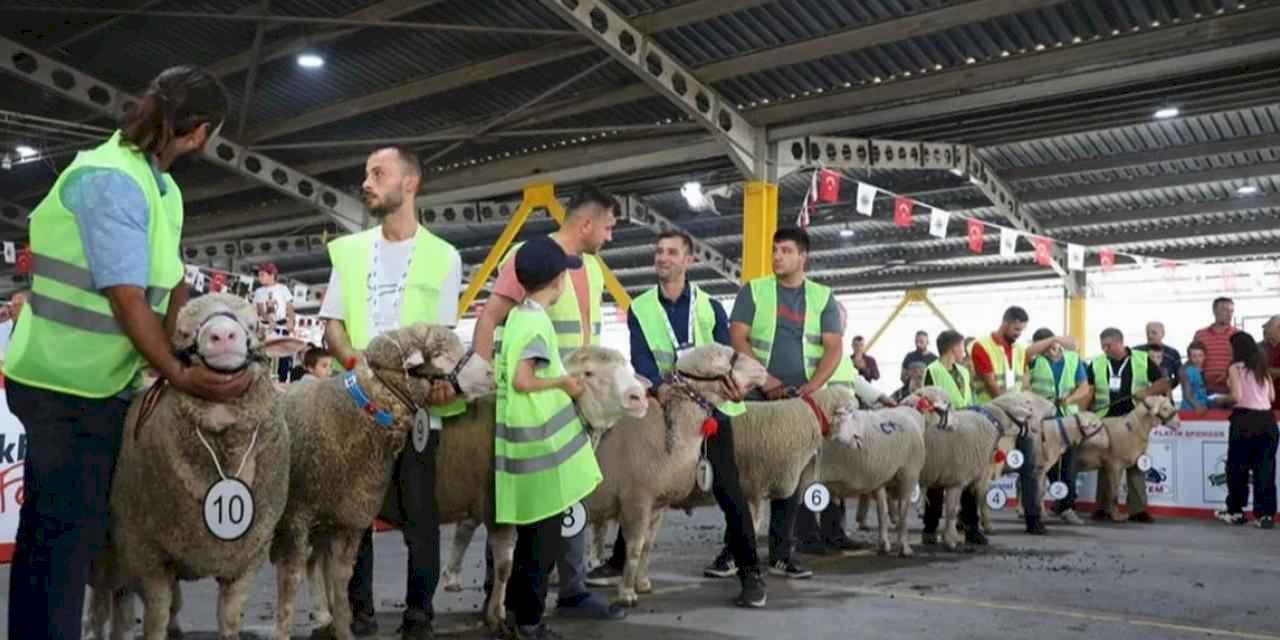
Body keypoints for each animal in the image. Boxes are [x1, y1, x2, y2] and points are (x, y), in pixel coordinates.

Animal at [87, 293, 304, 640]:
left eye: (254, 325)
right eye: (183, 333)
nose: (223, 335)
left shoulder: (246, 560)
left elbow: (229, 620)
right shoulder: (149, 556)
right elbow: (156, 618)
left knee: (122, 604)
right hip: (110, 553)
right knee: (101, 605)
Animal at [906, 386, 1044, 547]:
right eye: (1025, 405)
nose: (1037, 429)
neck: (992, 421)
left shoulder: (951, 471)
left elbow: (963, 504)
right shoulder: (967, 474)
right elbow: (970, 503)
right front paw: (958, 536)